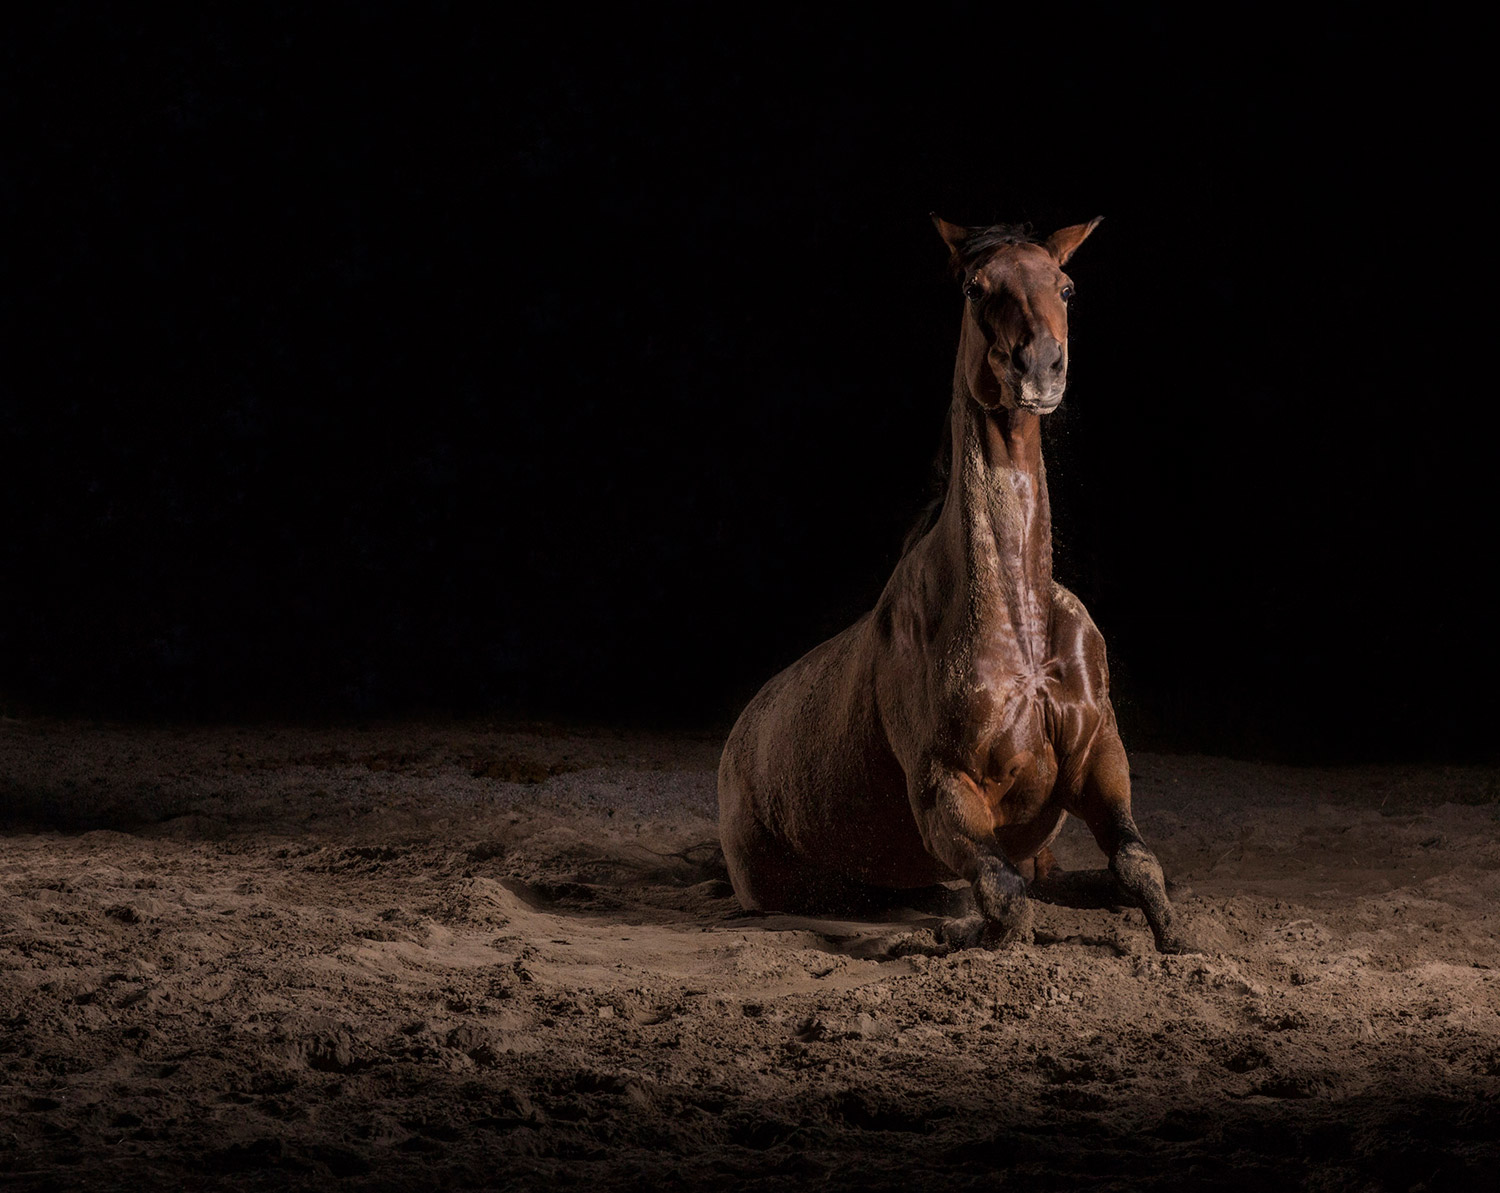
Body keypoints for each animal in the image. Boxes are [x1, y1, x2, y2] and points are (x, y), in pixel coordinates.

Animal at [717, 214, 1187, 954]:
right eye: (975, 286)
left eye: (1066, 286)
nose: (1039, 366)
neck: (1020, 623)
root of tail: (738, 736)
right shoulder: (945, 791)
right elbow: (1004, 898)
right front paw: (964, 932)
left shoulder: (1098, 758)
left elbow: (1138, 865)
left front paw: (1180, 941)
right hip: (775, 891)